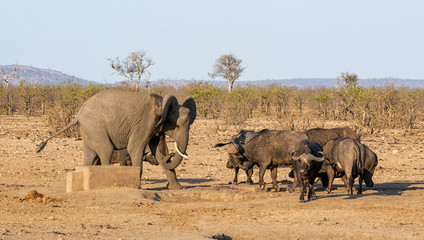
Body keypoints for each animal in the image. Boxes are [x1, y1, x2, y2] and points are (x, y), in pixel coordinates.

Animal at [36, 88, 195, 189]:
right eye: (178, 125)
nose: (171, 155)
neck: (162, 103)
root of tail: (78, 114)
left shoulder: (156, 126)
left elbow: (159, 150)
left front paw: (177, 188)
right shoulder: (145, 123)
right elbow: (135, 148)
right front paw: (137, 186)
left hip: (88, 129)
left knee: (90, 155)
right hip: (95, 126)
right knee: (106, 149)